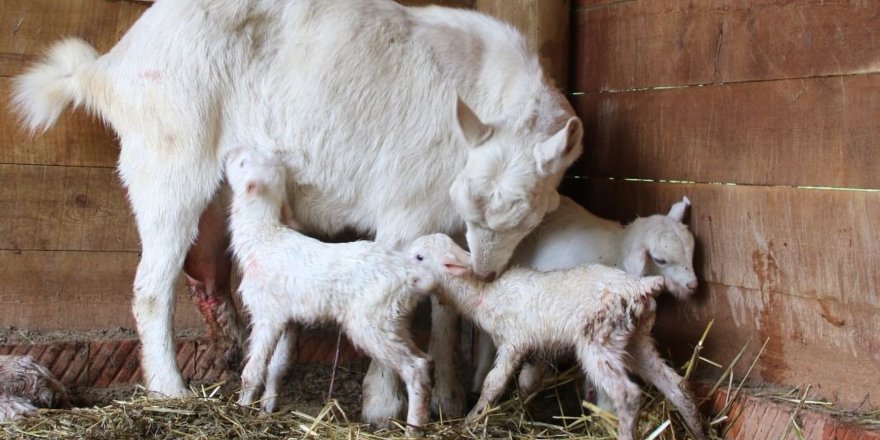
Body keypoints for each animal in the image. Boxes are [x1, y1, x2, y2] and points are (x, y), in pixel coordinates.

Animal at [13, 0, 580, 420]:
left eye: (525, 212)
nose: (487, 271)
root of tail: (109, 67)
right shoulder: (407, 212)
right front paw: (383, 403)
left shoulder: (447, 227)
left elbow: (446, 310)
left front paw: (451, 399)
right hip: (169, 162)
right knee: (151, 288)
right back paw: (170, 389)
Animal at [408, 235, 708, 440]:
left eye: (419, 257)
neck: (485, 294)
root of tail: (641, 286)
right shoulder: (537, 348)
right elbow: (527, 384)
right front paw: (525, 415)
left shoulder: (514, 341)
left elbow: (493, 383)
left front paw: (473, 420)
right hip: (636, 339)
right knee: (678, 386)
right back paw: (699, 431)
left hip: (599, 338)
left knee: (627, 395)